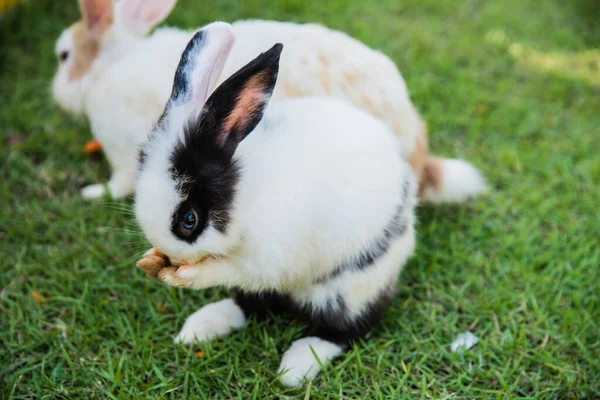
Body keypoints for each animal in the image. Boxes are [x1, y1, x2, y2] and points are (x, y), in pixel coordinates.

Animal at [49, 0, 486, 200]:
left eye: (64, 55)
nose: (55, 97)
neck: (109, 66)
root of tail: (418, 155)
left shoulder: (126, 154)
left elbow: (119, 185)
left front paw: (91, 194)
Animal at [136, 22, 418, 388]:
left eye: (189, 220)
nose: (170, 254)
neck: (245, 197)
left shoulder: (266, 258)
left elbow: (229, 270)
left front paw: (186, 275)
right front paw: (151, 260)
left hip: (351, 287)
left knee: (348, 329)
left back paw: (296, 366)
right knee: (251, 306)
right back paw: (200, 327)